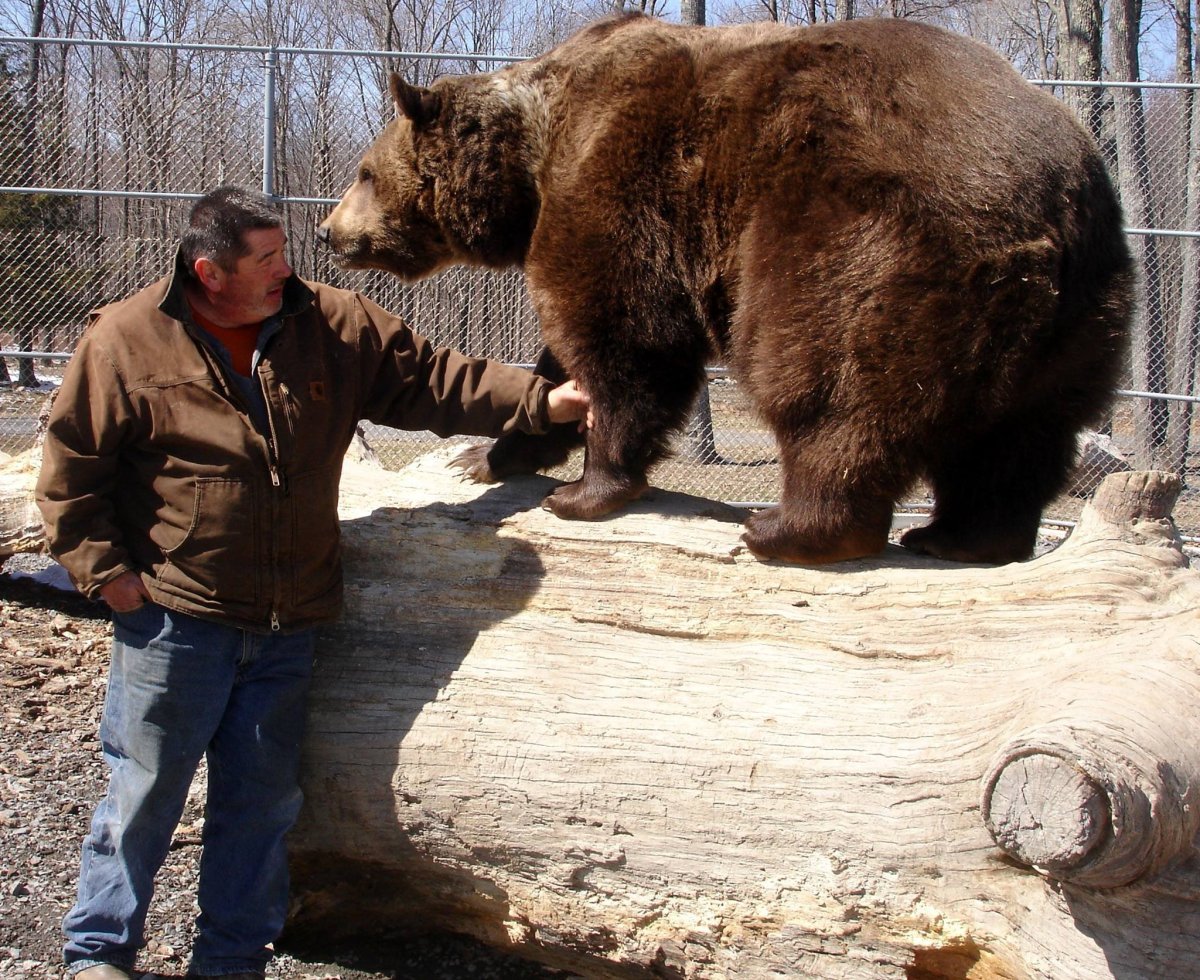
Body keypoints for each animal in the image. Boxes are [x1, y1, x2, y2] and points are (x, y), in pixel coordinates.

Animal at [318, 12, 1133, 565]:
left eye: (364, 172)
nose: (329, 232)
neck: (533, 159)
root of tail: (1056, 204)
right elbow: (562, 361)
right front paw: (489, 454)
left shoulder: (615, 190)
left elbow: (623, 343)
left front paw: (583, 489)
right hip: (1081, 319)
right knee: (1023, 437)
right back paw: (964, 535)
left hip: (865, 237)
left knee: (828, 382)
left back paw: (787, 525)